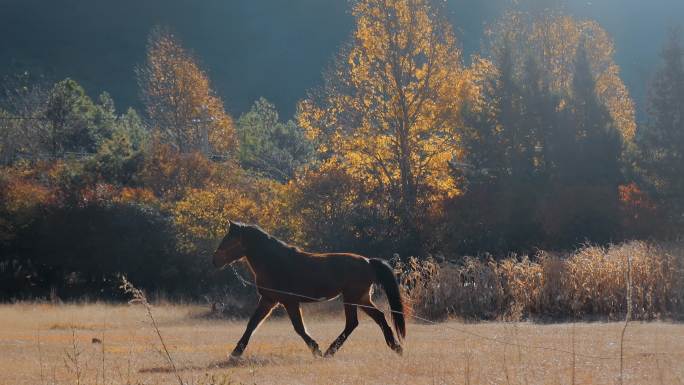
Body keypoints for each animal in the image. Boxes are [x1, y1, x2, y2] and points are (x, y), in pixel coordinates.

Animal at [214, 220, 406, 358]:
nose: (215, 259)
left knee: (352, 323)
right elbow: (252, 324)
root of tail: (368, 262)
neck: (275, 262)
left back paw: (329, 352)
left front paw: (316, 350)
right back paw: (395, 347)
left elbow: (299, 327)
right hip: (362, 298)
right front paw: (235, 353)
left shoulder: (289, 301)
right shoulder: (269, 300)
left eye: (228, 239)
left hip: (352, 298)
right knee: (379, 317)